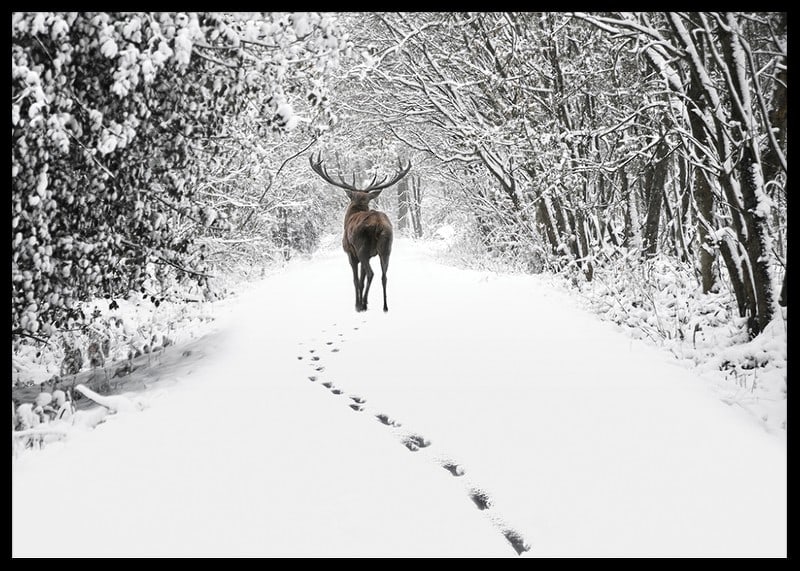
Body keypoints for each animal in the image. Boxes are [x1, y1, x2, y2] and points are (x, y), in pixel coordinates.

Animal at [309, 153, 411, 312]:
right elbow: (362, 279)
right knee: (384, 276)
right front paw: (366, 301)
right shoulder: (369, 255)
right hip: (386, 248)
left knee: (371, 274)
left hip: (362, 247)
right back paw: (384, 307)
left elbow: (356, 280)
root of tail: (378, 225)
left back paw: (362, 305)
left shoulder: (351, 253)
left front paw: (358, 304)